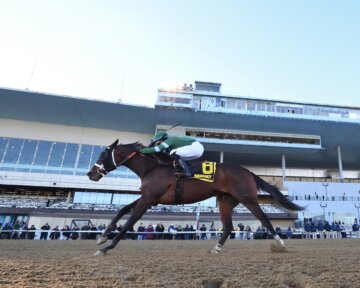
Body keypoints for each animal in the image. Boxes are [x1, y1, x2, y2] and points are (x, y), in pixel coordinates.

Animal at [87, 140, 304, 256]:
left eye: (103, 154)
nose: (91, 174)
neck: (152, 167)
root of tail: (248, 172)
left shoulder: (148, 199)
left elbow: (129, 222)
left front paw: (106, 247)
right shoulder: (150, 197)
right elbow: (123, 209)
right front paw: (103, 236)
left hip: (248, 198)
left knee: (264, 219)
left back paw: (280, 244)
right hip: (225, 201)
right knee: (228, 227)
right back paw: (216, 249)